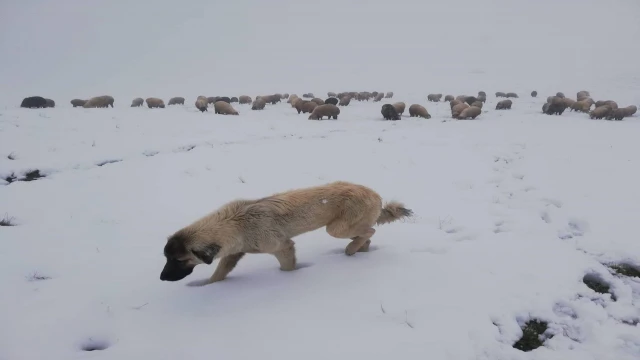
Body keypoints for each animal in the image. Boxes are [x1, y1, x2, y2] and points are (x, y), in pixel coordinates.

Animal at [158, 181, 412, 286]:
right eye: (167, 258)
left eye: (179, 260)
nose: (162, 278)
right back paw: (359, 250)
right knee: (367, 235)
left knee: (370, 230)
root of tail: (375, 194)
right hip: (344, 226)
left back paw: (351, 250)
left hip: (336, 228)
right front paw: (208, 286)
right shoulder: (233, 253)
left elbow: (287, 267)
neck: (235, 224)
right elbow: (219, 273)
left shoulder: (282, 246)